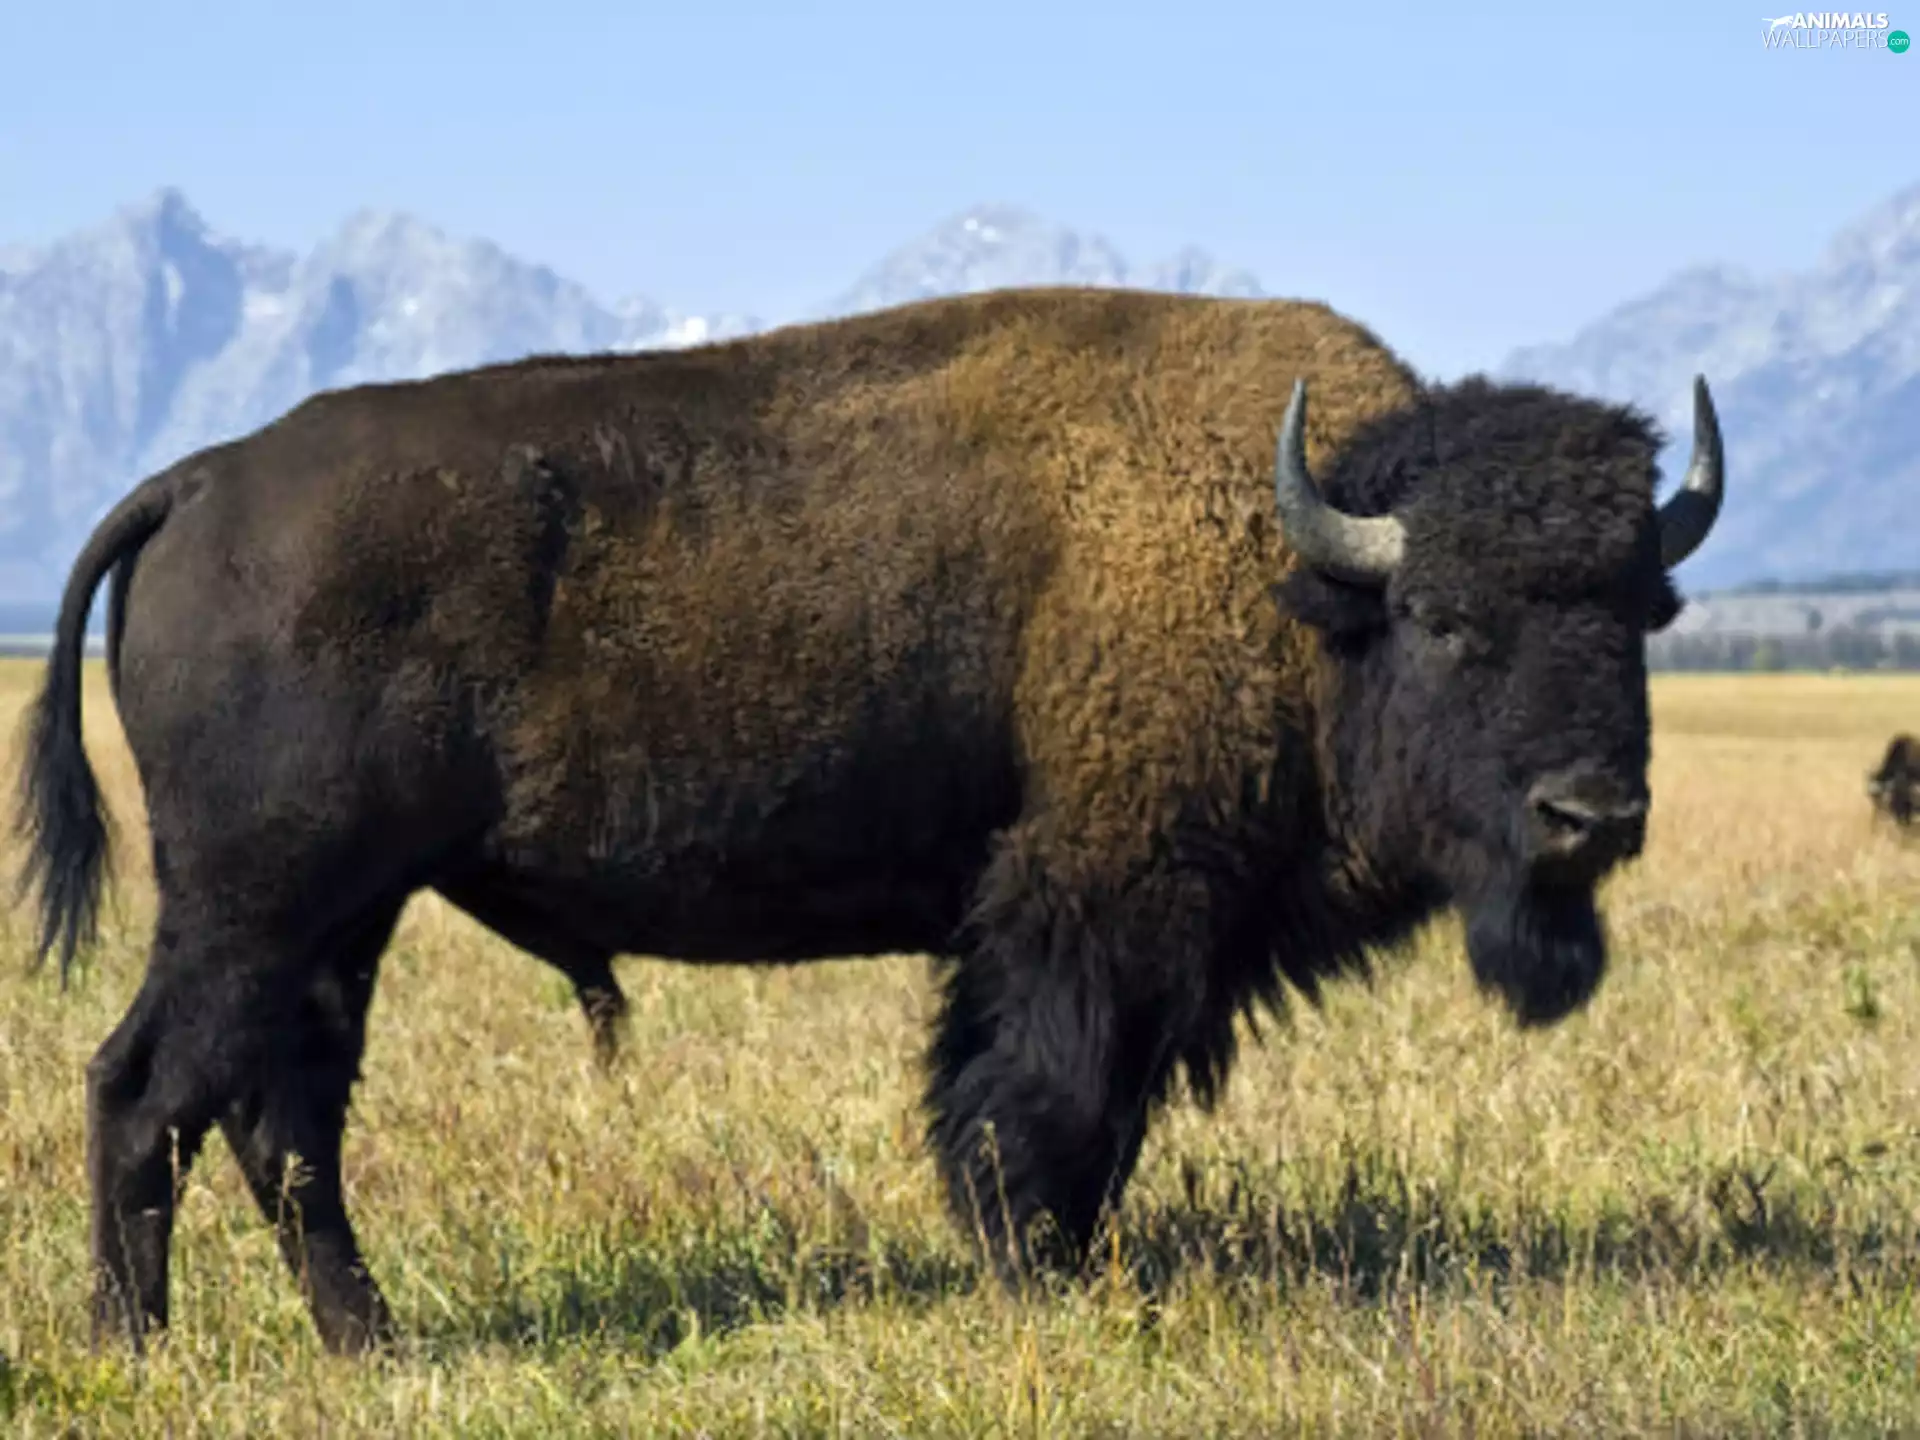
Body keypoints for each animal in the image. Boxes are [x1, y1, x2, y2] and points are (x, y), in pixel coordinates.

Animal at [14, 286, 1724, 1355]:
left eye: (1645, 608)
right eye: (1443, 620)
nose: (1589, 812)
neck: (1299, 573)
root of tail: (201, 482)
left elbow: (1087, 1115)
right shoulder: (1093, 915)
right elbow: (1036, 1107)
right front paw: (1040, 1278)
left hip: (338, 919)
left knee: (279, 1113)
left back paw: (366, 1345)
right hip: (255, 905)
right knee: (148, 1090)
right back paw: (141, 1351)